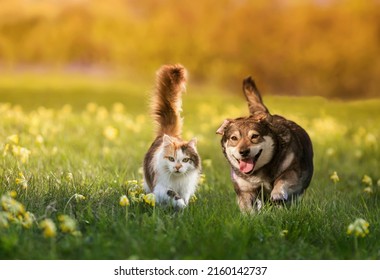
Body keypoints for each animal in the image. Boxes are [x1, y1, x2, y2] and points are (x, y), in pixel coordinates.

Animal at [143, 63, 202, 208]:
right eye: (171, 159)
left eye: (185, 160)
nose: (177, 167)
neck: (177, 180)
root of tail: (168, 133)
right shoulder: (160, 186)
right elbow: (172, 194)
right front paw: (180, 205)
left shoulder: (186, 188)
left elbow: (185, 197)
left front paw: (185, 207)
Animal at [215, 76, 314, 212]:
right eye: (234, 138)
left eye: (255, 136)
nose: (244, 151)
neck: (259, 171)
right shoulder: (245, 189)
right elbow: (248, 208)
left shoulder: (293, 169)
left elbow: (283, 179)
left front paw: (277, 193)